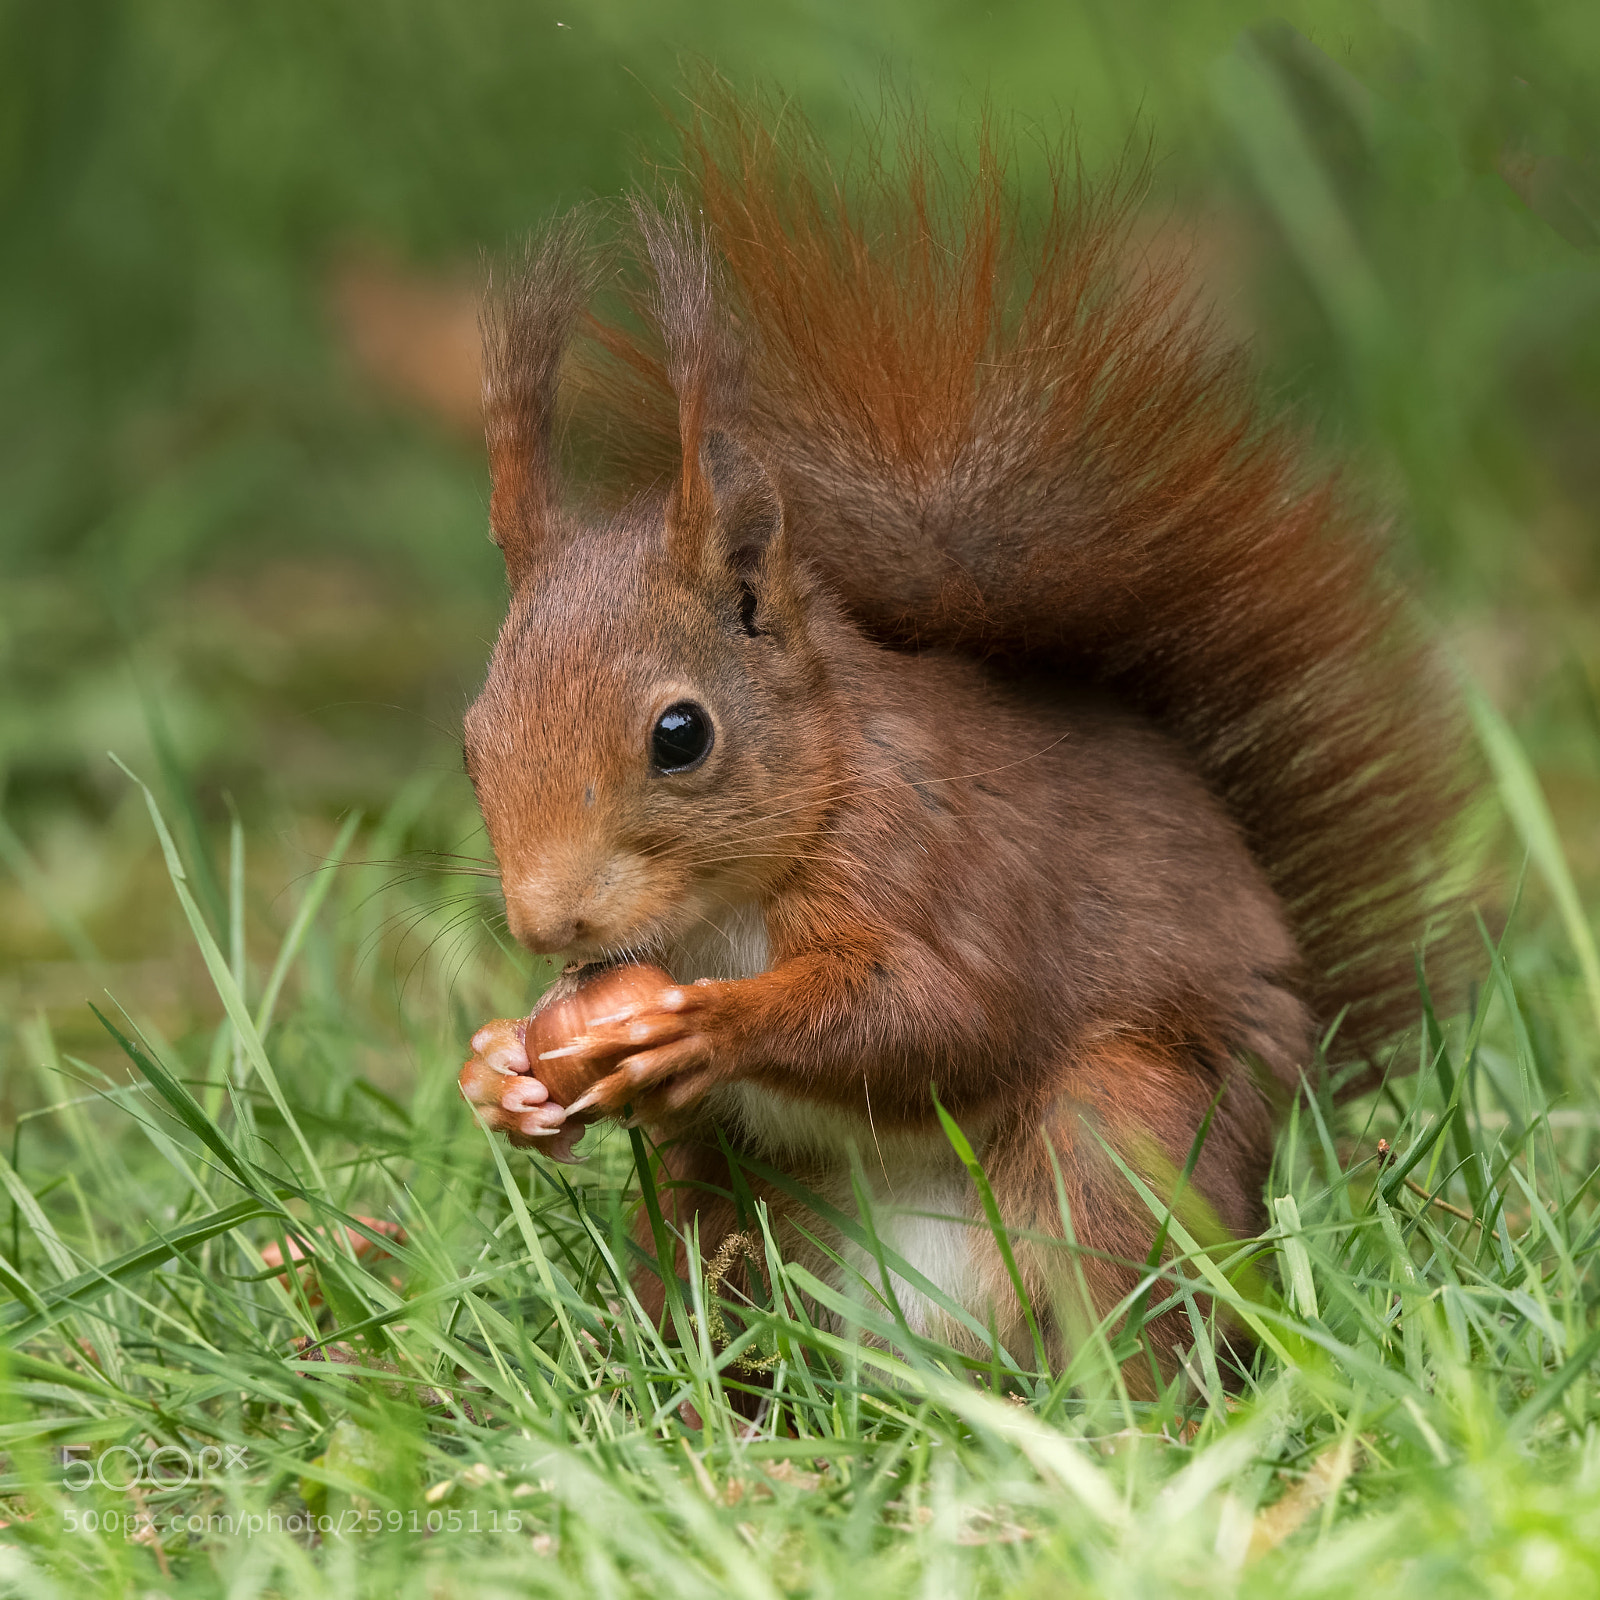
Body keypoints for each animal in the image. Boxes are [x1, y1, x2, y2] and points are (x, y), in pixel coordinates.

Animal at [455, 91, 1479, 1386]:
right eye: (471, 738)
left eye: (680, 734)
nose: (547, 925)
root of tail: (941, 1357)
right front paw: (499, 1075)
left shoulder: (940, 857)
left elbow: (945, 1016)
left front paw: (706, 1025)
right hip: (726, 1217)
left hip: (1125, 1138)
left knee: (1134, 1305)